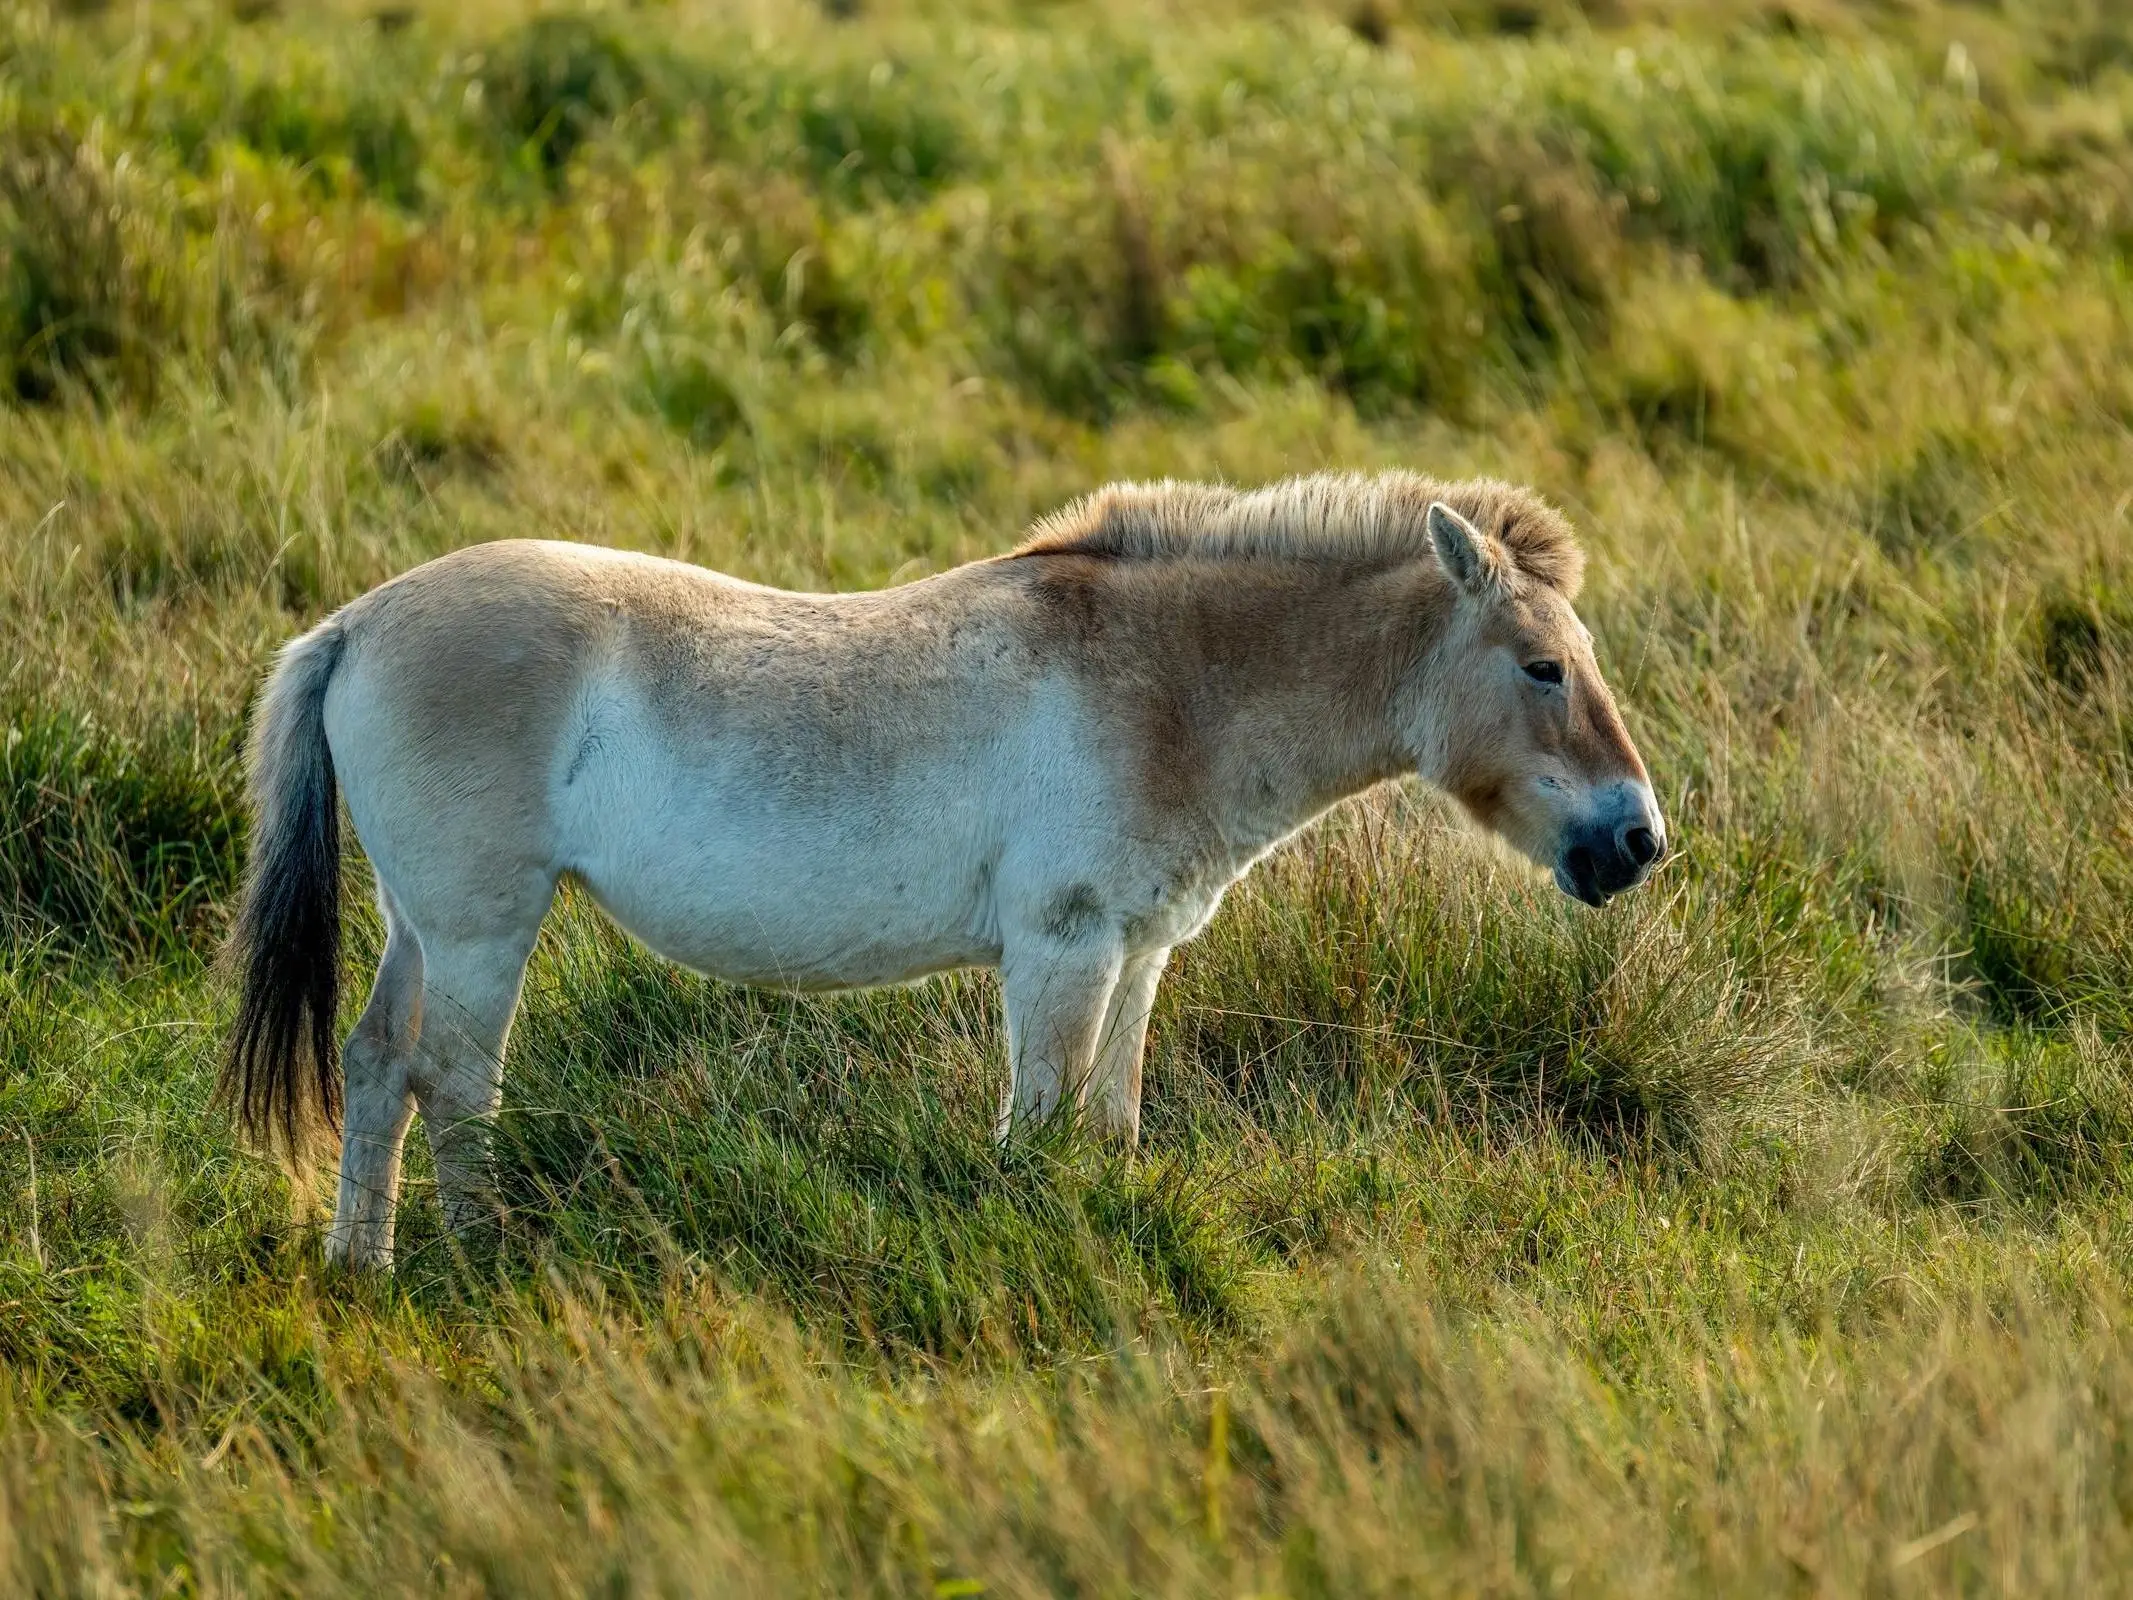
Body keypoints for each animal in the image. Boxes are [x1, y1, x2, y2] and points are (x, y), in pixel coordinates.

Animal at [229, 469, 1663, 1271]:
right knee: (453, 1084)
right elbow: (1038, 1130)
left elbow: (1107, 1126)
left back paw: (363, 1267)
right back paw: (477, 1259)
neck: (1170, 684)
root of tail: (358, 621)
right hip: (484, 927)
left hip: (425, 924)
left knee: (375, 1068)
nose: (1638, 841)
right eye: (1543, 665)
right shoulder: (1062, 953)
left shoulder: (1137, 953)